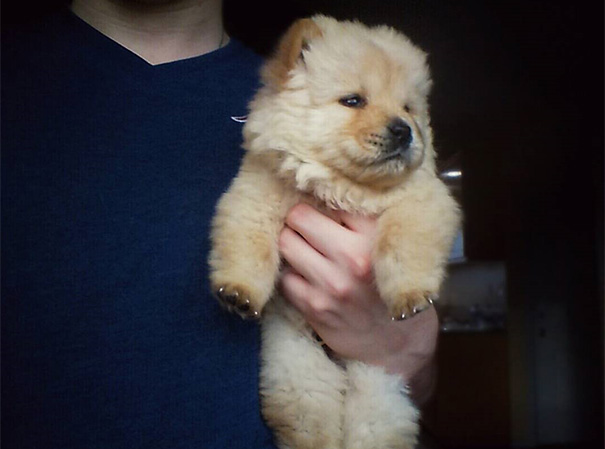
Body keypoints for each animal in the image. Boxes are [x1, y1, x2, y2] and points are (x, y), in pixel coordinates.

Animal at [208, 14, 458, 448]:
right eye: (354, 101)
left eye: (408, 108)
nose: (404, 129)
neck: (341, 186)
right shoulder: (254, 198)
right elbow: (250, 249)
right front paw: (238, 294)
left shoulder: (423, 202)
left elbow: (401, 245)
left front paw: (410, 296)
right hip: (297, 375)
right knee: (313, 424)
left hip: (378, 383)